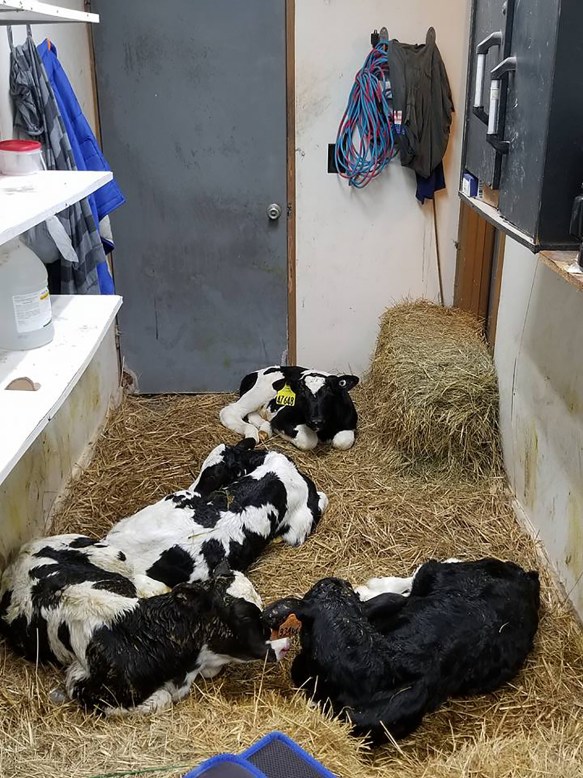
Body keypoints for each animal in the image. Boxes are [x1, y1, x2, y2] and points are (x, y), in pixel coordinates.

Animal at [219, 366, 359, 451]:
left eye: (329, 390)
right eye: (301, 392)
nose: (315, 421)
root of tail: (252, 374)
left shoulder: (349, 423)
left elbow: (343, 440)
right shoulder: (281, 419)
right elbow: (309, 440)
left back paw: (264, 430)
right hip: (260, 393)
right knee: (230, 411)